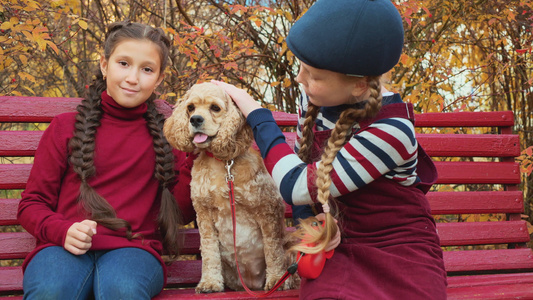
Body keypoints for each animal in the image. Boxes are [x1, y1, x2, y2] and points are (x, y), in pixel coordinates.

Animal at [163, 82, 296, 292]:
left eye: (215, 108)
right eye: (190, 107)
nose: (195, 119)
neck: (222, 163)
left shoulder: (267, 209)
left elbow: (273, 249)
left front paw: (276, 279)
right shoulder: (204, 214)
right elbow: (209, 252)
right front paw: (210, 282)